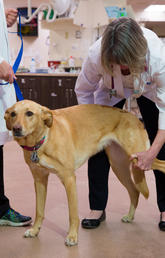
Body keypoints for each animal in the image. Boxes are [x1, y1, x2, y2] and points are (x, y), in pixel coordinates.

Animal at [4, 99, 165, 246]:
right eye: (13, 114)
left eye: (29, 113)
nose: (16, 129)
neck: (43, 139)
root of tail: (133, 116)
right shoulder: (39, 180)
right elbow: (39, 211)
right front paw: (34, 231)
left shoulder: (69, 179)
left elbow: (72, 214)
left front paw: (72, 237)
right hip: (119, 167)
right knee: (134, 191)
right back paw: (130, 216)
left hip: (143, 157)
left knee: (160, 167)